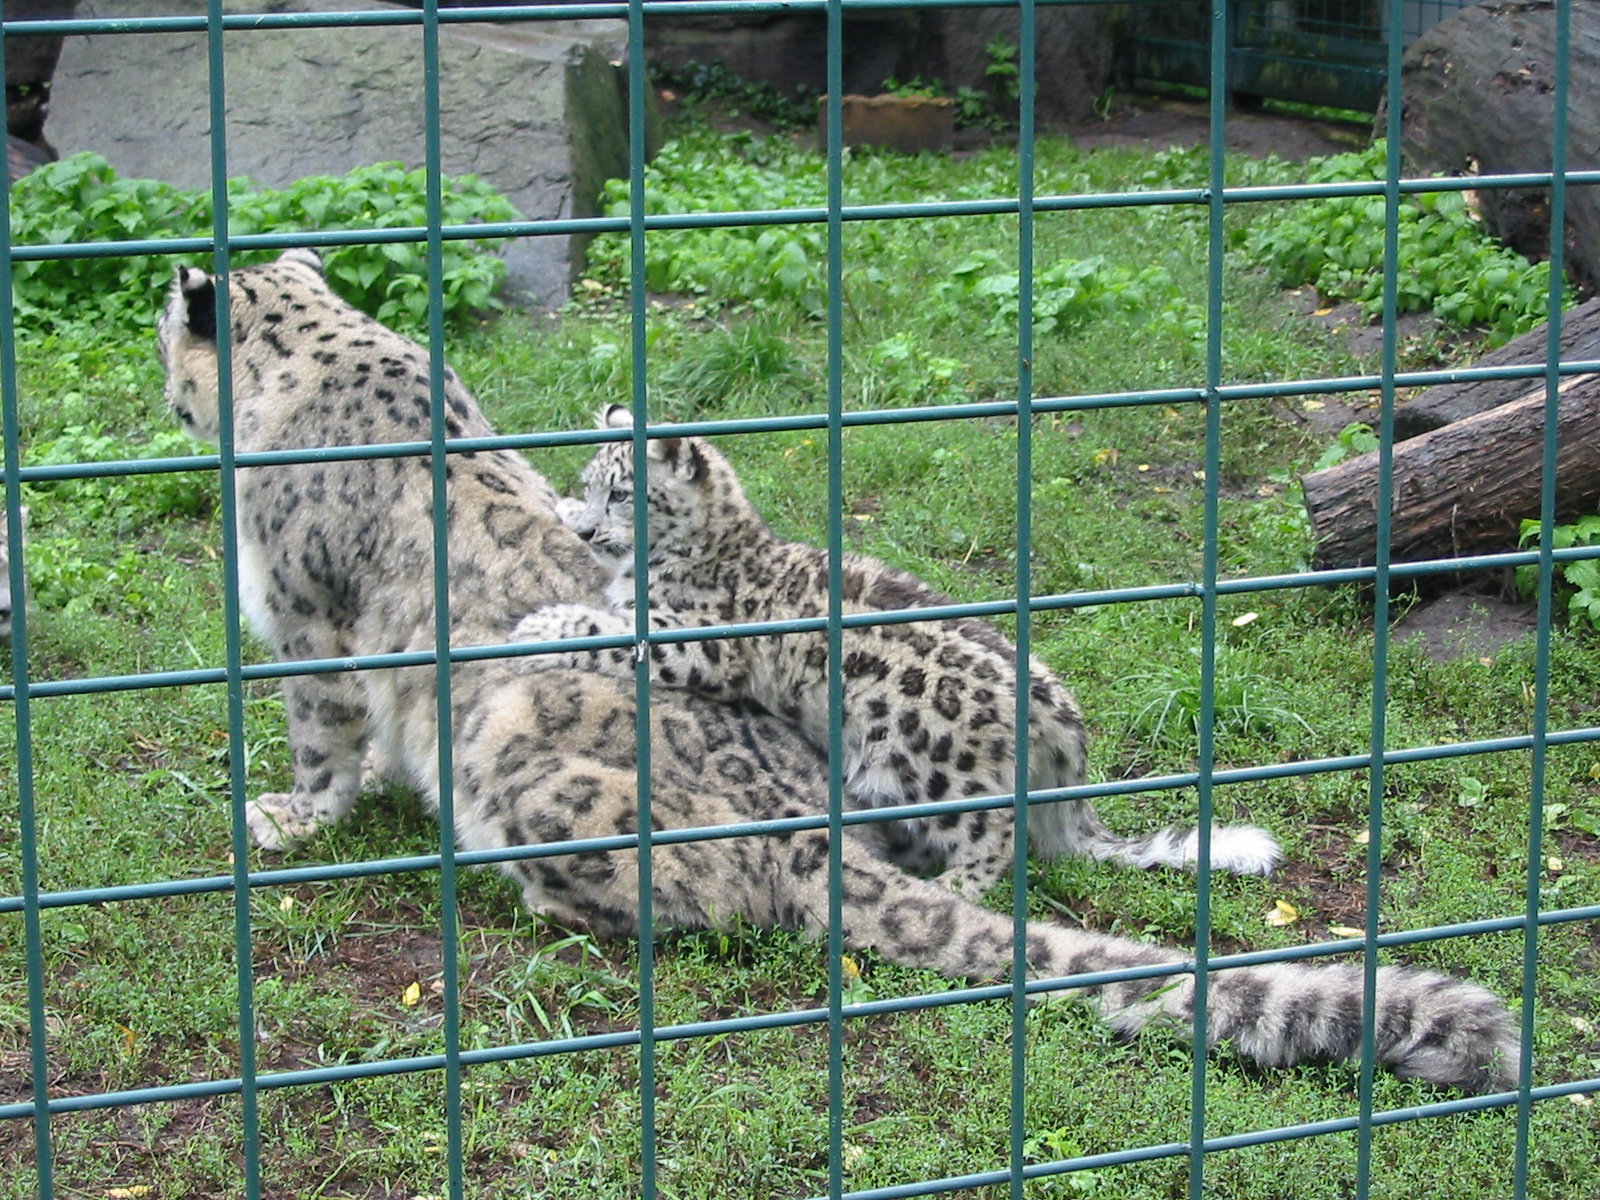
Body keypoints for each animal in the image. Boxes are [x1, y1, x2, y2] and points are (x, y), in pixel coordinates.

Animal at [513, 405, 1279, 898]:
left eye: (623, 493)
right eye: (589, 487)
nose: (585, 530)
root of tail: (1061, 720)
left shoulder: (697, 645)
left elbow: (612, 635)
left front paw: (541, 625)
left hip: (936, 774)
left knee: (997, 836)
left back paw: (954, 886)